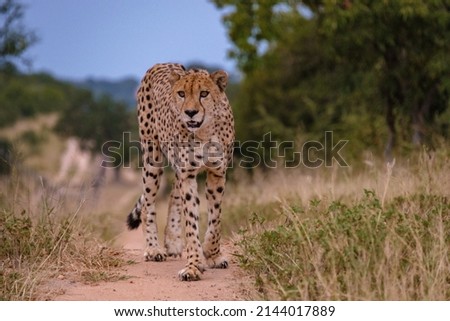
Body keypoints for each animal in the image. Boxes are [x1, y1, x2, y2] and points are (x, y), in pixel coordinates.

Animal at [125, 62, 234, 280]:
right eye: (182, 94)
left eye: (204, 93)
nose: (190, 112)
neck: (204, 131)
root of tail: (160, 64)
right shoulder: (188, 174)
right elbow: (191, 221)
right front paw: (194, 265)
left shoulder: (217, 173)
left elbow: (215, 218)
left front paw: (212, 254)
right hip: (152, 158)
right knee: (148, 202)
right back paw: (153, 248)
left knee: (174, 192)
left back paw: (173, 241)